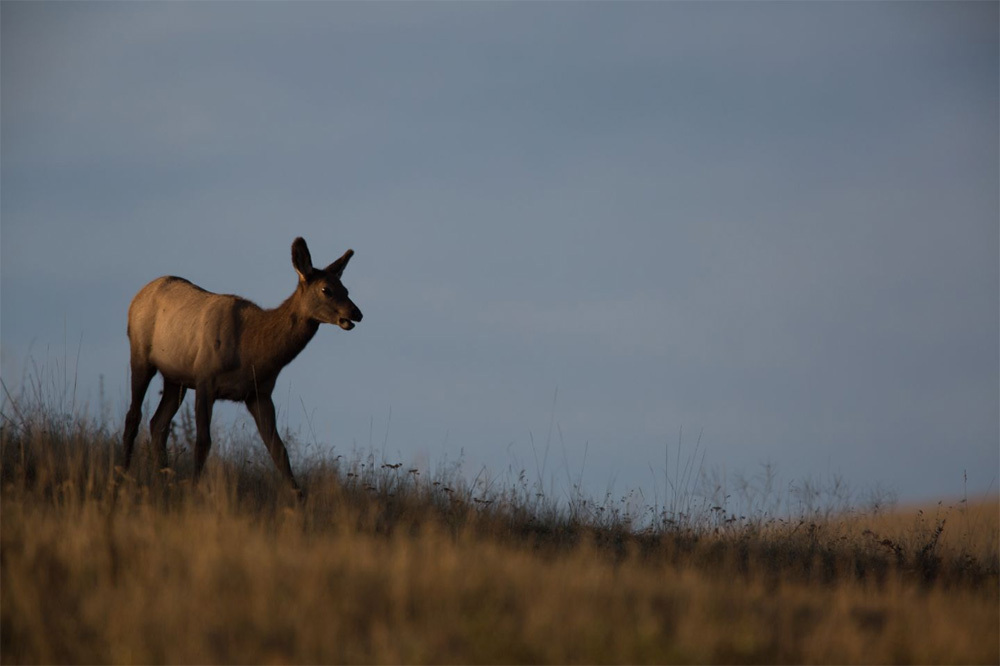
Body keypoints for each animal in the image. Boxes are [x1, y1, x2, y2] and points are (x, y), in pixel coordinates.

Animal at [121, 237, 363, 493]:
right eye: (326, 290)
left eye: (346, 289)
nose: (357, 313)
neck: (253, 351)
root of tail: (138, 295)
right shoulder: (205, 379)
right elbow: (203, 442)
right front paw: (195, 489)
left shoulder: (259, 393)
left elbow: (279, 451)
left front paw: (299, 498)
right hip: (140, 355)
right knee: (134, 416)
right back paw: (123, 475)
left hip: (175, 378)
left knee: (158, 424)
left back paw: (164, 479)